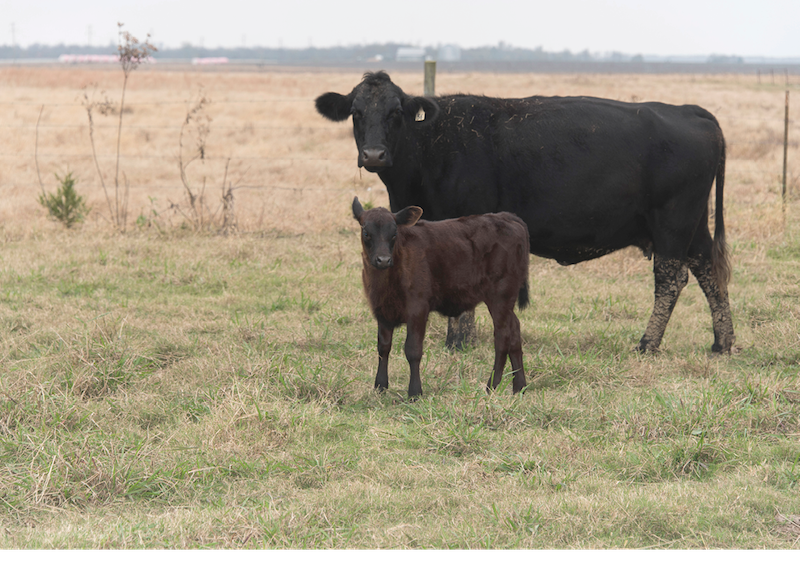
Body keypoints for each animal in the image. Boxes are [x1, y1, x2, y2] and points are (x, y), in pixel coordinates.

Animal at [316, 71, 736, 354]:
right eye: (356, 112)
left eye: (396, 112)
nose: (373, 154)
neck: (433, 146)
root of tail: (690, 111)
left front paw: (460, 342)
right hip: (693, 226)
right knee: (709, 271)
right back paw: (723, 342)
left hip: (672, 223)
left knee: (671, 279)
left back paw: (648, 343)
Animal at [352, 197, 532, 398]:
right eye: (366, 232)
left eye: (394, 233)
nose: (383, 260)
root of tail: (506, 216)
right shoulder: (382, 310)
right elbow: (383, 348)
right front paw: (380, 386)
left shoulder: (418, 308)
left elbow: (413, 350)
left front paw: (415, 392)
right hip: (507, 300)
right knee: (515, 330)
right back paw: (519, 387)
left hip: (500, 294)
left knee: (502, 337)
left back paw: (491, 386)